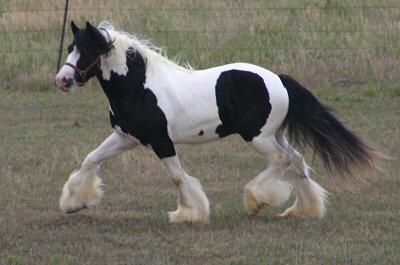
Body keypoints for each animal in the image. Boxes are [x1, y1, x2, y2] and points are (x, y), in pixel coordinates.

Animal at [54, 21, 378, 223]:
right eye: (70, 47)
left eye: (87, 51)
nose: (62, 80)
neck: (140, 87)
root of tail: (278, 79)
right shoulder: (126, 138)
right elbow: (90, 160)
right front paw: (75, 202)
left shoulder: (160, 141)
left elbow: (178, 177)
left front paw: (188, 214)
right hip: (276, 134)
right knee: (297, 161)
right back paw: (304, 210)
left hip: (258, 137)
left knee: (281, 161)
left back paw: (256, 199)